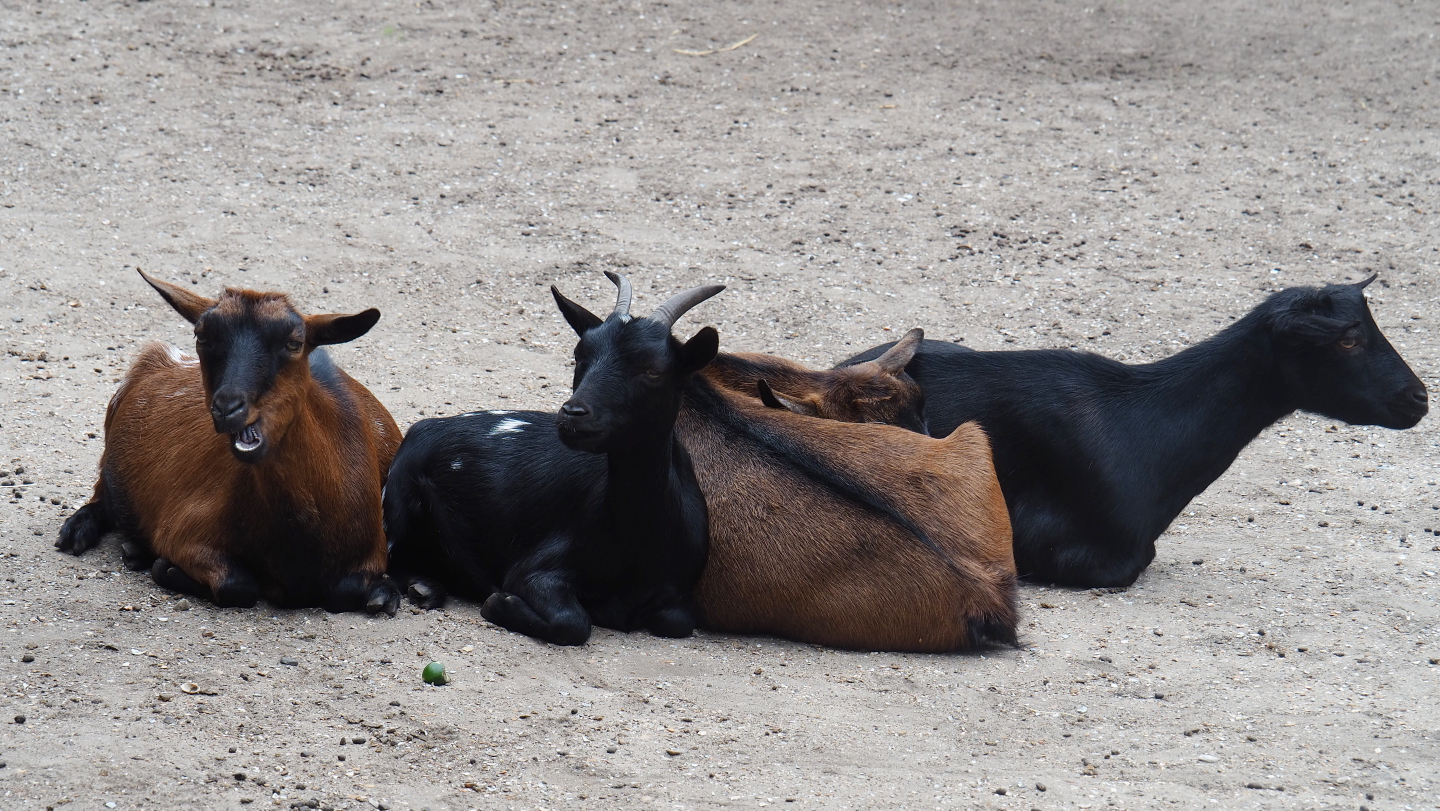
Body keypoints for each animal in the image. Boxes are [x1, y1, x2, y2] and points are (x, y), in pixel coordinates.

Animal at [56, 270, 403, 614]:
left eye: (294, 343)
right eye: (203, 337)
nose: (227, 407)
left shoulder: (372, 552)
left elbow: (346, 590)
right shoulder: (184, 531)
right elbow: (236, 585)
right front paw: (167, 568)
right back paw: (79, 534)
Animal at [383, 273, 722, 645]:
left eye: (652, 370)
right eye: (578, 355)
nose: (573, 413)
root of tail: (425, 426)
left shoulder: (681, 590)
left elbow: (676, 621)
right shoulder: (535, 569)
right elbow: (571, 622)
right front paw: (499, 603)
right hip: (397, 506)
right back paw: (423, 588)